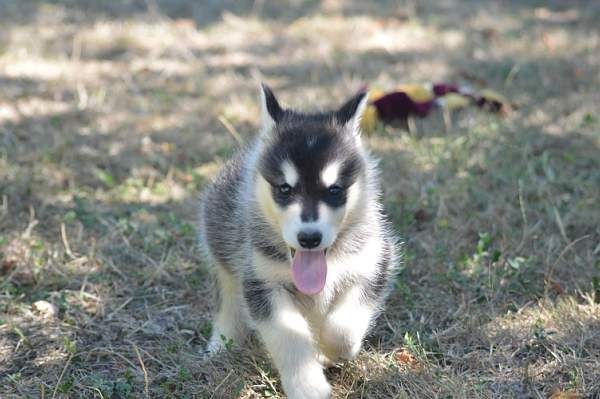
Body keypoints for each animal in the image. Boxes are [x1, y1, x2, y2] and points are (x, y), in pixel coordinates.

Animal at [200, 86, 398, 398]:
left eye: (335, 189)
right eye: (284, 188)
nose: (309, 237)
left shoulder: (374, 263)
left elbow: (343, 328)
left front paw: (330, 348)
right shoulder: (261, 282)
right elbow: (288, 335)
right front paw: (308, 387)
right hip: (224, 257)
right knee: (228, 301)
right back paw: (220, 344)